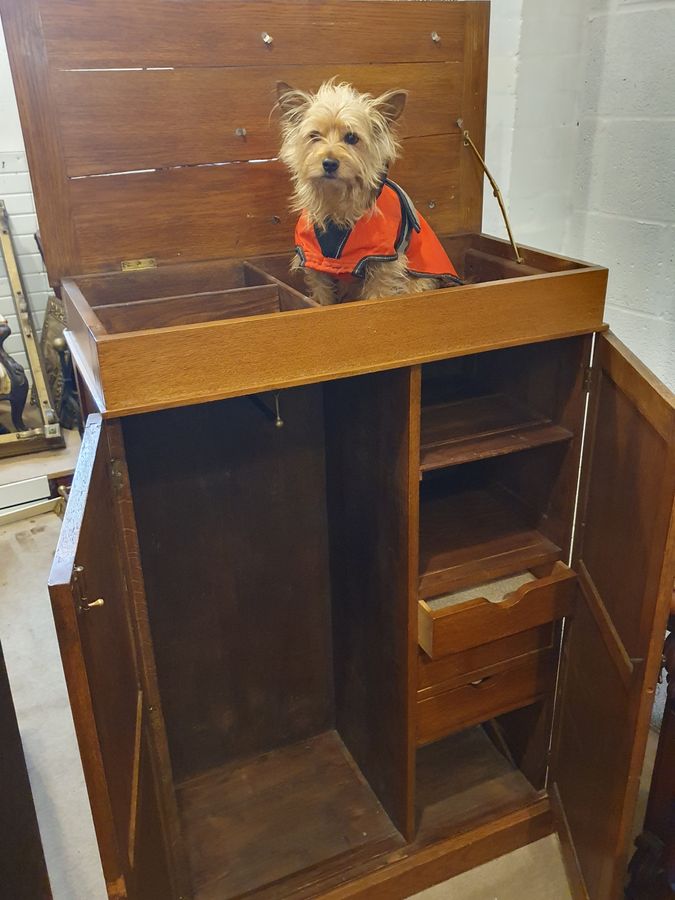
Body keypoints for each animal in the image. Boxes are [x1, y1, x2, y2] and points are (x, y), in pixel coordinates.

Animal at [274, 78, 460, 302]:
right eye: (314, 136)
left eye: (352, 138)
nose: (329, 163)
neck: (337, 201)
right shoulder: (315, 264)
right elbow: (323, 299)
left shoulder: (382, 264)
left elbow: (377, 295)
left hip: (417, 282)